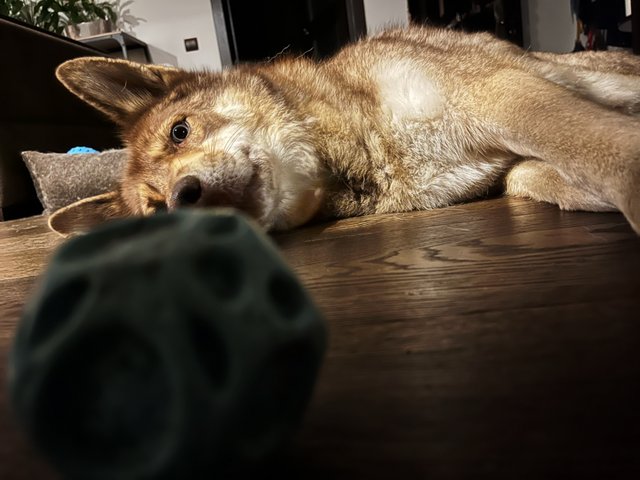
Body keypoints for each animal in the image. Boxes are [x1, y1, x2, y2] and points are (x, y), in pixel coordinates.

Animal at [50, 25, 640, 236]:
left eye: (179, 131)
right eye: (156, 212)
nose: (184, 196)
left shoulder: (501, 95)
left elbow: (601, 148)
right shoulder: (506, 157)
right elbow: (540, 174)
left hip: (588, 75)